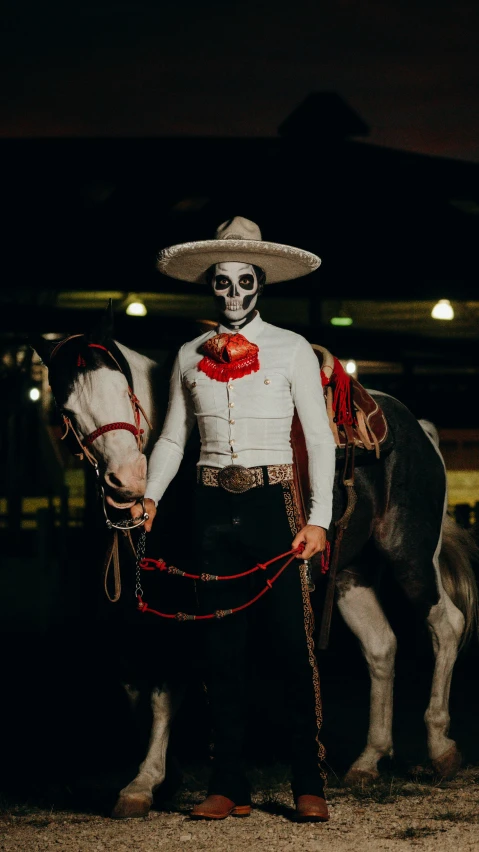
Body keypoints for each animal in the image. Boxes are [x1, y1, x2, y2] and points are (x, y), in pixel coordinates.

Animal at [31, 308, 479, 820]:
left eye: (123, 391)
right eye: (68, 411)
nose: (127, 481)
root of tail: (418, 429)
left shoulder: (192, 605)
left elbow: (167, 690)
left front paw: (145, 782)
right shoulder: (143, 612)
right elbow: (135, 688)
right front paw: (162, 777)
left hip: (410, 555)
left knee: (445, 624)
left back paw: (441, 748)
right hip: (349, 575)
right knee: (381, 646)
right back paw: (368, 760)